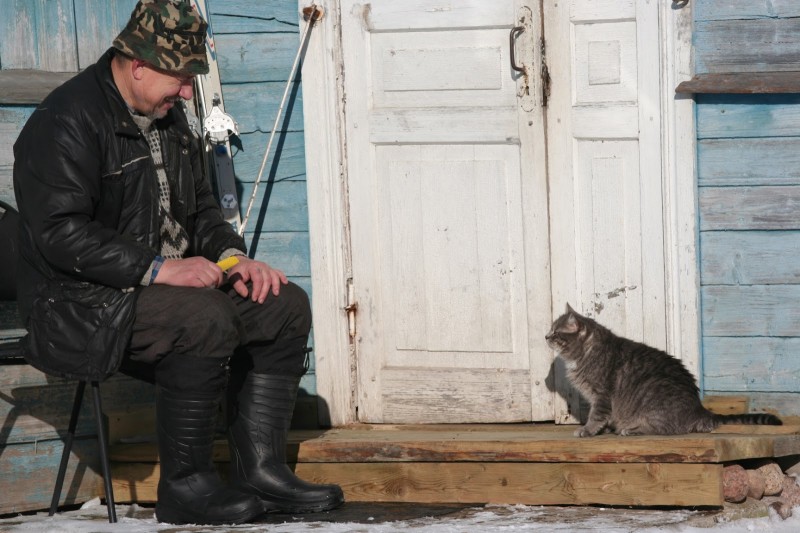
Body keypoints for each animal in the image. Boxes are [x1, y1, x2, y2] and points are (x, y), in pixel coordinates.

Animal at [544, 304, 780, 436]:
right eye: (550, 329)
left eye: (556, 332)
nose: (546, 336)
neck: (586, 352)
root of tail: (699, 408)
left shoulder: (601, 395)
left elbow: (596, 416)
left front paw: (587, 430)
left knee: (667, 430)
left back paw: (631, 430)